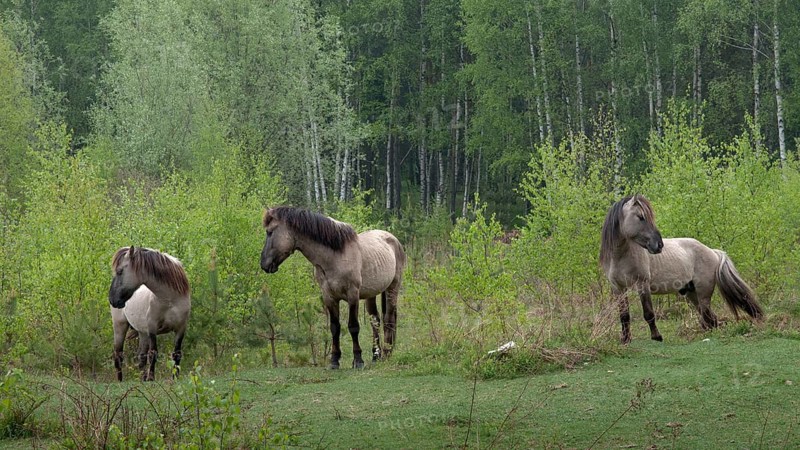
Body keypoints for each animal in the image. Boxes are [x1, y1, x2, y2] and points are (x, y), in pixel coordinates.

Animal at [109, 246, 191, 381]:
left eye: (120, 271)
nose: (112, 299)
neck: (170, 300)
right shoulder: (152, 328)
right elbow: (153, 354)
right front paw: (151, 379)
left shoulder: (181, 328)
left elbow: (177, 354)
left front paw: (175, 378)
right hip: (120, 327)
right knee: (118, 356)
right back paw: (120, 381)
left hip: (142, 333)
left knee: (141, 357)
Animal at [260, 207, 406, 369]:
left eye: (270, 232)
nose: (264, 264)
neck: (335, 257)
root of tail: (393, 239)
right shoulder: (329, 297)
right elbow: (335, 327)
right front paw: (334, 360)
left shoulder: (352, 295)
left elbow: (353, 326)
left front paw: (358, 360)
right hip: (371, 294)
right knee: (375, 320)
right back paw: (376, 356)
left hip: (393, 287)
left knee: (389, 319)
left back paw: (387, 352)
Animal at [599, 194, 764, 344]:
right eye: (640, 217)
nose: (659, 245)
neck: (620, 256)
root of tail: (712, 251)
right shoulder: (618, 288)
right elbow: (624, 315)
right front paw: (625, 339)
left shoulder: (642, 284)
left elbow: (648, 313)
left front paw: (657, 337)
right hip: (692, 294)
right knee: (711, 319)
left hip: (703, 294)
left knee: (708, 317)